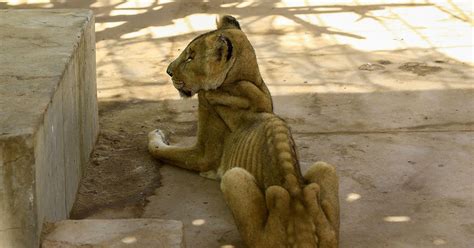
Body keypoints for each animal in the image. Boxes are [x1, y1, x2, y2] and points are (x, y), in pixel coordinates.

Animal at [150, 16, 338, 248]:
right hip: (326, 171)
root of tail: (302, 227)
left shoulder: (203, 153)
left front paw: (156, 134)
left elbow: (159, 150)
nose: (167, 71)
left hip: (234, 177)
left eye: (190, 57)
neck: (243, 80)